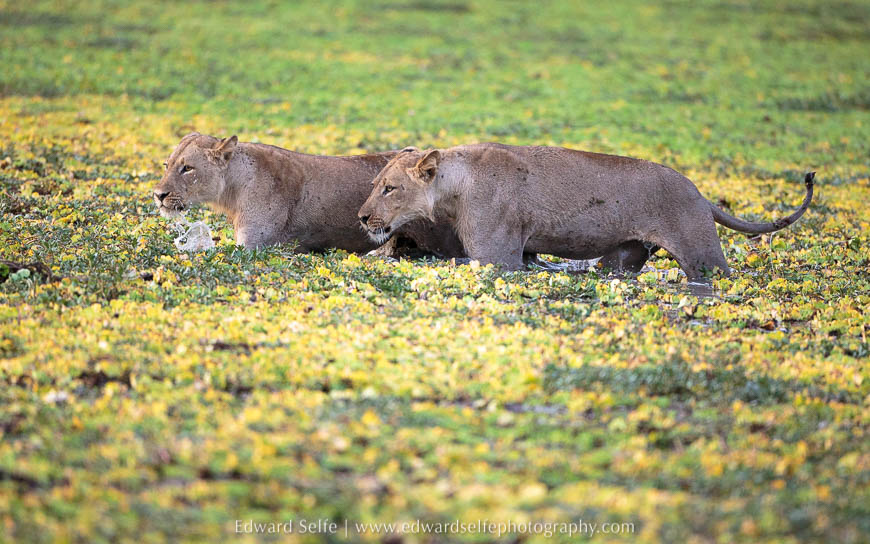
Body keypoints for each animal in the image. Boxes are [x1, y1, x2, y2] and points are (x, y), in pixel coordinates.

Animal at [358, 144, 814, 280]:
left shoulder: (497, 256)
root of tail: (701, 194)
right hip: (625, 254)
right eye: (376, 182)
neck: (455, 183)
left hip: (702, 253)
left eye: (389, 188)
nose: (362, 217)